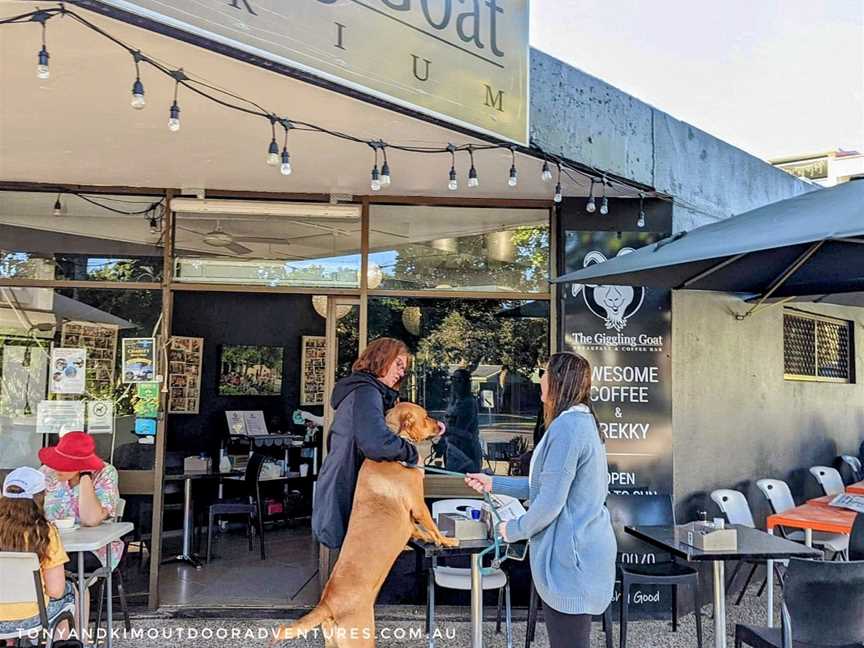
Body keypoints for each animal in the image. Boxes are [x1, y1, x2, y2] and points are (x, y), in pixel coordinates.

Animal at [278, 402, 462, 644]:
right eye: (425, 416)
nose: (442, 421)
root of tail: (326, 604)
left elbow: (418, 530)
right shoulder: (418, 504)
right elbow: (432, 526)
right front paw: (446, 540)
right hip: (362, 638)